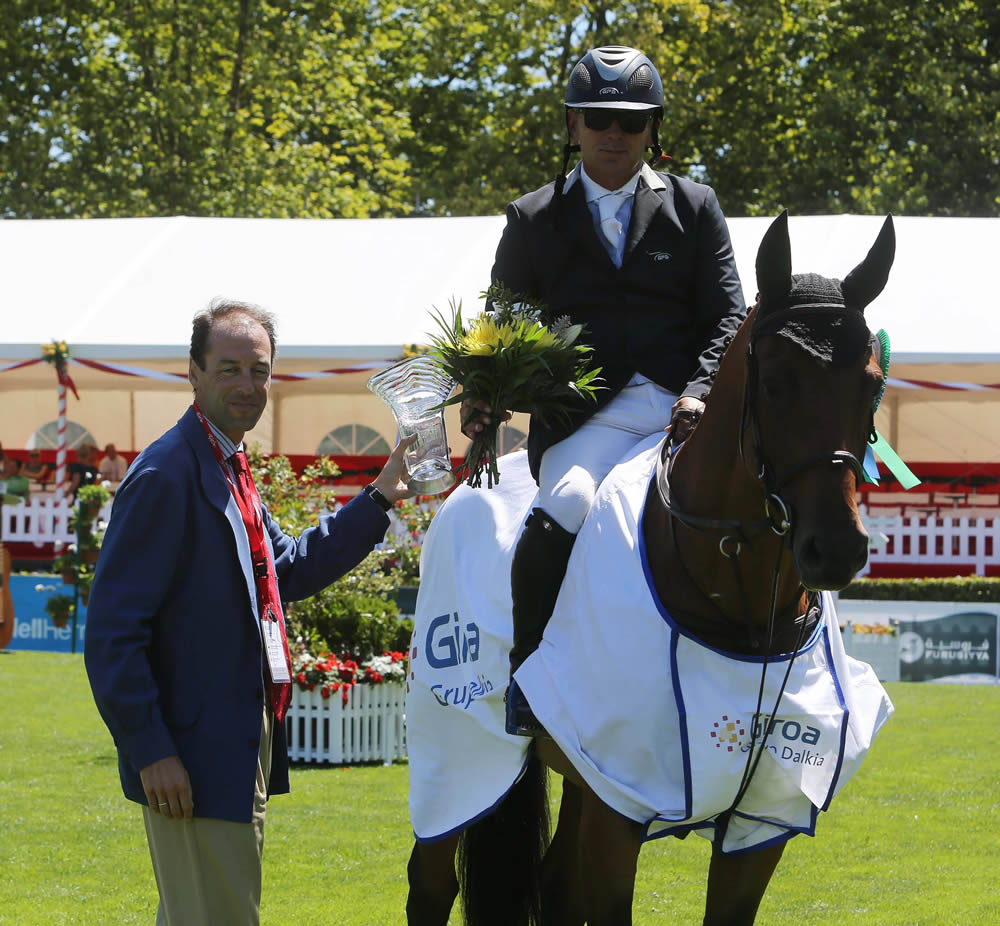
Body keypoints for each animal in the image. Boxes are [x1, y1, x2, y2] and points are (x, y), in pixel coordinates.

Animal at [404, 212, 900, 926]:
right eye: (774, 381)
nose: (834, 550)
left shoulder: (761, 817)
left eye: (870, 381)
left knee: (555, 886)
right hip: (459, 749)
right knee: (433, 881)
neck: (738, 604)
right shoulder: (618, 808)